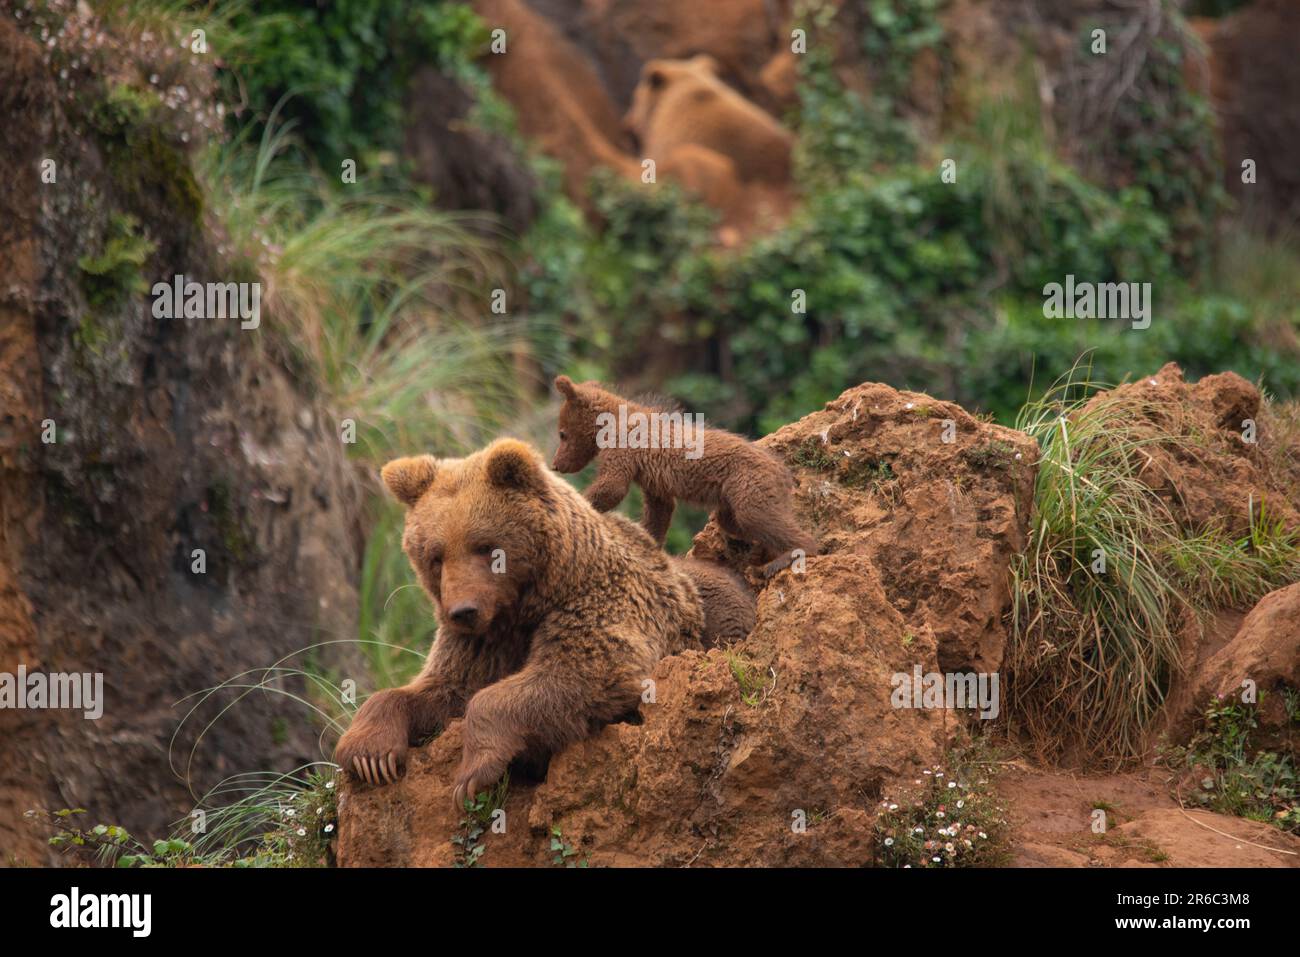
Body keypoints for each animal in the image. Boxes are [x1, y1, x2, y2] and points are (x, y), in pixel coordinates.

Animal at [333, 437, 753, 807]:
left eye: (484, 547)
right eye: (435, 555)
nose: (462, 611)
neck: (527, 604)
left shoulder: (596, 602)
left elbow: (579, 674)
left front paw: (473, 774)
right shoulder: (481, 643)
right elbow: (443, 688)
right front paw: (370, 756)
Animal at [551, 375, 817, 577]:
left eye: (562, 433)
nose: (556, 464)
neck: (609, 424)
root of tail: (784, 472)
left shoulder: (623, 449)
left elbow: (612, 486)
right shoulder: (654, 482)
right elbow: (659, 511)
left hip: (749, 483)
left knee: (760, 517)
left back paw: (786, 557)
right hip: (734, 498)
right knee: (738, 522)